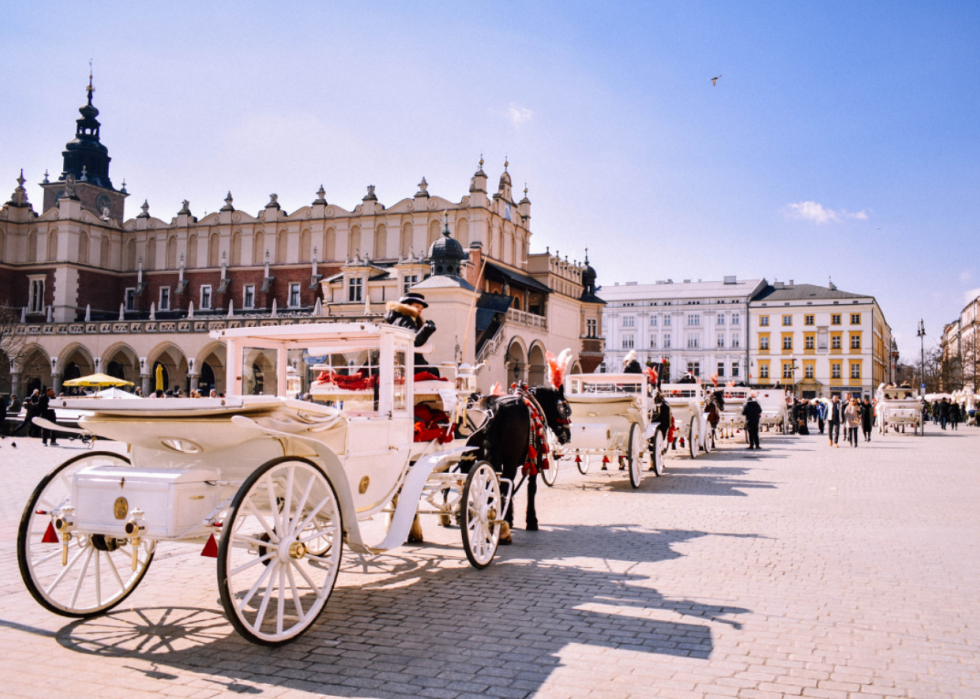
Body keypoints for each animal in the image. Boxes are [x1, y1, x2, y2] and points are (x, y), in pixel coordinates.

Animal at [466, 386, 572, 540]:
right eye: (565, 409)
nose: (568, 436)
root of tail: (495, 407)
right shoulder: (535, 460)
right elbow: (530, 488)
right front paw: (531, 520)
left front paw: (510, 517)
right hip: (511, 461)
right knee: (503, 486)